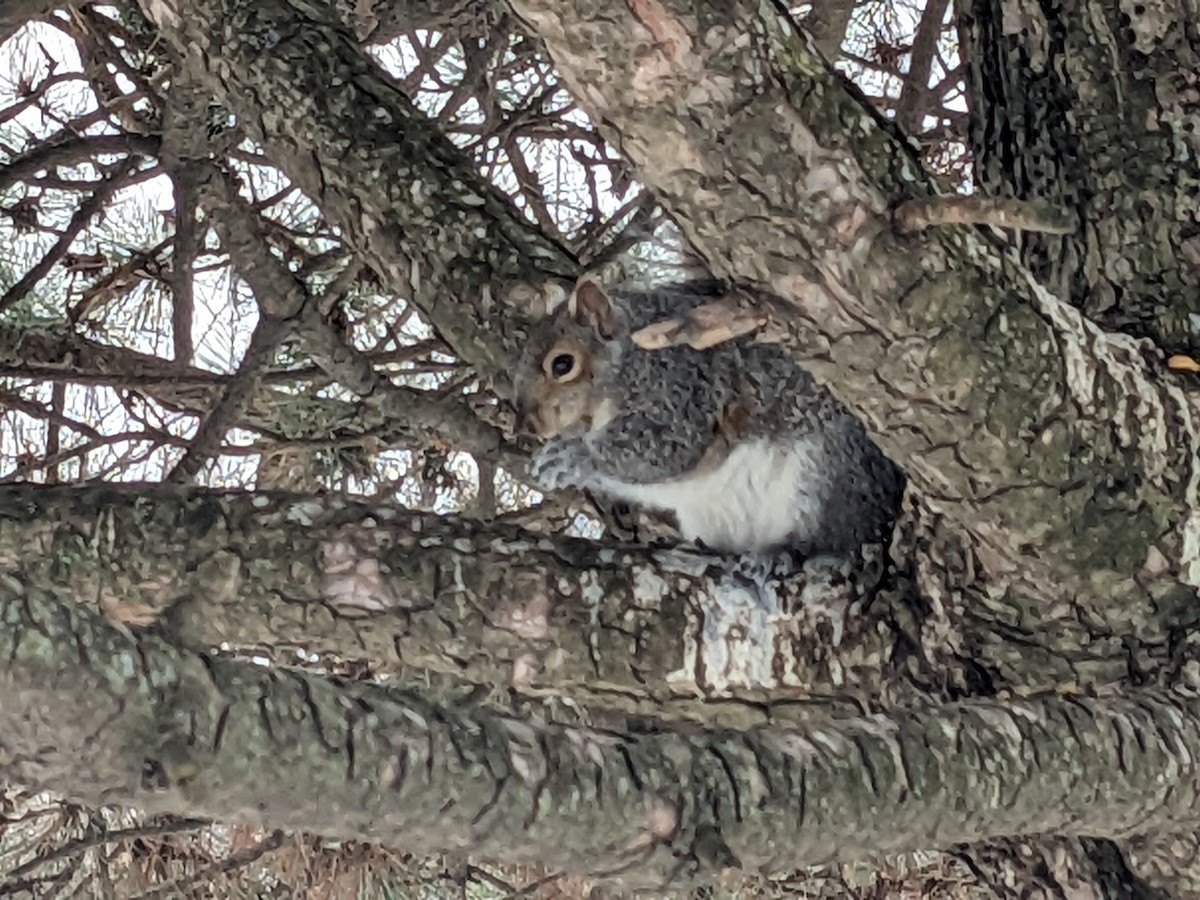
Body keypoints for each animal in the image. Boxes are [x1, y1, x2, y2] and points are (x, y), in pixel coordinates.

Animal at [513, 277, 904, 560]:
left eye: (563, 364)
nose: (528, 427)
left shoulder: (684, 386)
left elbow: (658, 451)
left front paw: (569, 457)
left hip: (828, 473)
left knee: (839, 534)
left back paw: (789, 550)